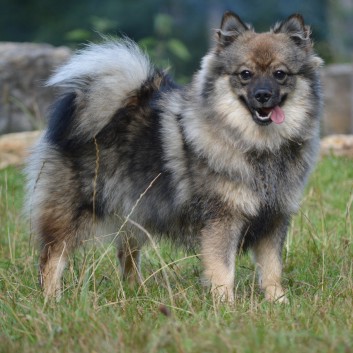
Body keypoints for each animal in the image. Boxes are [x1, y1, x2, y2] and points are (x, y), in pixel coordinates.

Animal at [24, 12, 322, 302]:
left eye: (280, 74)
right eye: (245, 74)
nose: (263, 95)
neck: (259, 145)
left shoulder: (274, 219)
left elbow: (272, 269)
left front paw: (278, 302)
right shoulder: (222, 220)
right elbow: (223, 270)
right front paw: (225, 305)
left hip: (135, 209)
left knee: (127, 254)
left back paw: (137, 292)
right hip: (74, 212)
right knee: (52, 257)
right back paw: (52, 299)